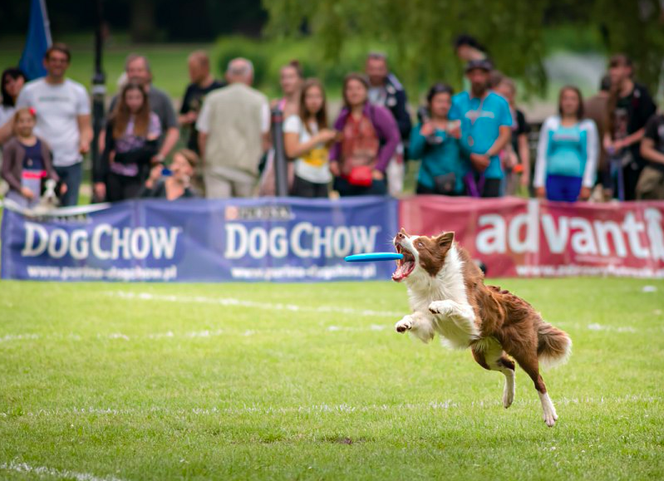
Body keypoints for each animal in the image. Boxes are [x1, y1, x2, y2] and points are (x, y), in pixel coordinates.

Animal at [392, 227, 572, 426]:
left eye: (420, 243)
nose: (399, 235)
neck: (433, 281)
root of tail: (525, 303)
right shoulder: (428, 325)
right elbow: (420, 319)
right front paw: (404, 322)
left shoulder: (473, 319)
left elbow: (452, 304)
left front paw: (439, 305)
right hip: (483, 355)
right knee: (510, 366)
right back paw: (508, 397)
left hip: (522, 349)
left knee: (538, 380)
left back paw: (549, 414)